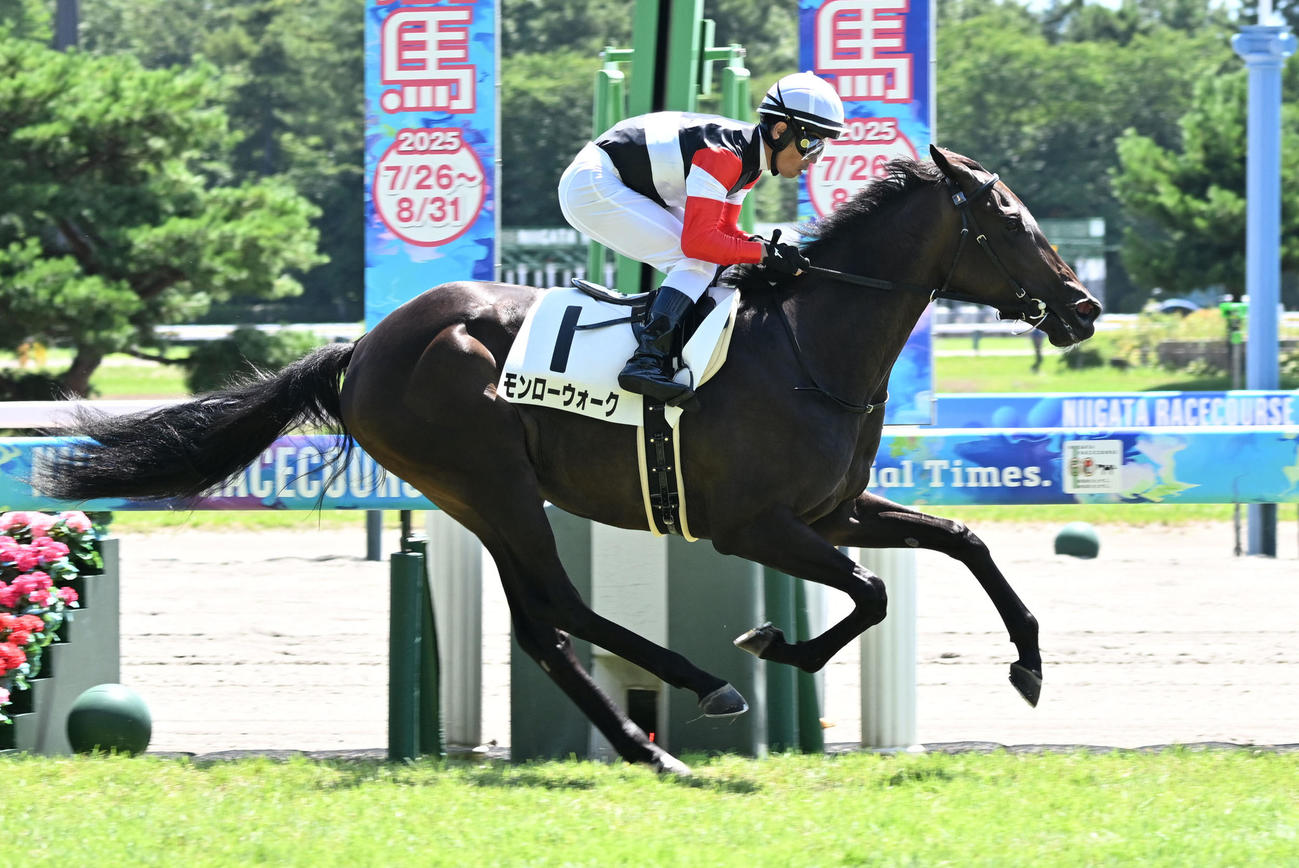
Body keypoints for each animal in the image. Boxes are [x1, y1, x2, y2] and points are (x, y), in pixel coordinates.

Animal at [39, 145, 1100, 775]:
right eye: (1010, 220)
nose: (1083, 308)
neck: (810, 346)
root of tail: (365, 346)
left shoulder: (832, 511)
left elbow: (962, 541)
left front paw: (1030, 664)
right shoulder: (750, 524)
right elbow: (870, 593)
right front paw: (772, 647)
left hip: (482, 496)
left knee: (540, 623)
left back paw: (651, 742)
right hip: (491, 482)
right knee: (552, 608)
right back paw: (691, 695)